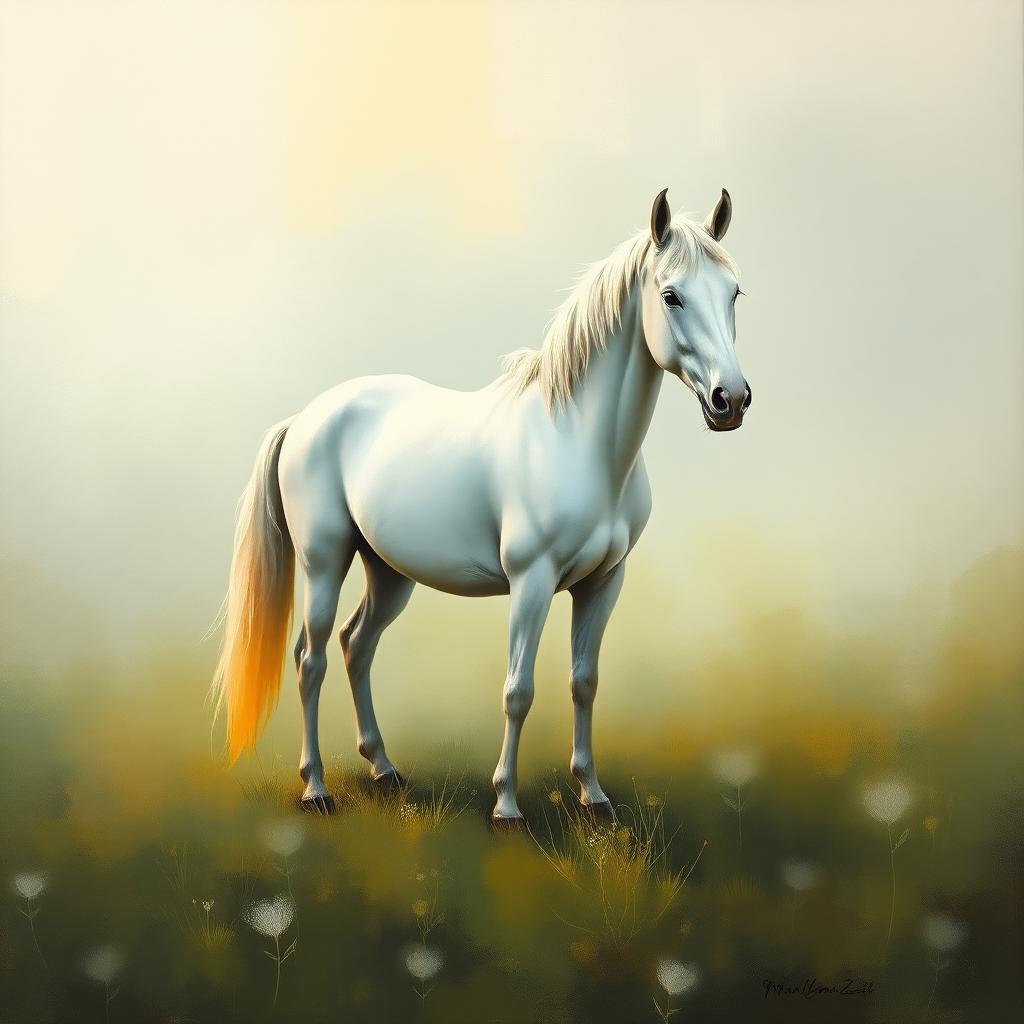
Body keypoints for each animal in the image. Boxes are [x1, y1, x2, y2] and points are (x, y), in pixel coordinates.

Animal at [211, 188, 751, 824]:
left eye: (734, 292)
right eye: (671, 296)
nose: (730, 399)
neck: (576, 440)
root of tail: (305, 417)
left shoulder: (604, 583)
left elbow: (584, 681)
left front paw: (593, 796)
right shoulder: (532, 582)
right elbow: (518, 690)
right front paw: (506, 806)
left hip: (388, 573)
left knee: (356, 645)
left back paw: (384, 769)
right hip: (324, 562)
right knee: (310, 658)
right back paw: (316, 788)